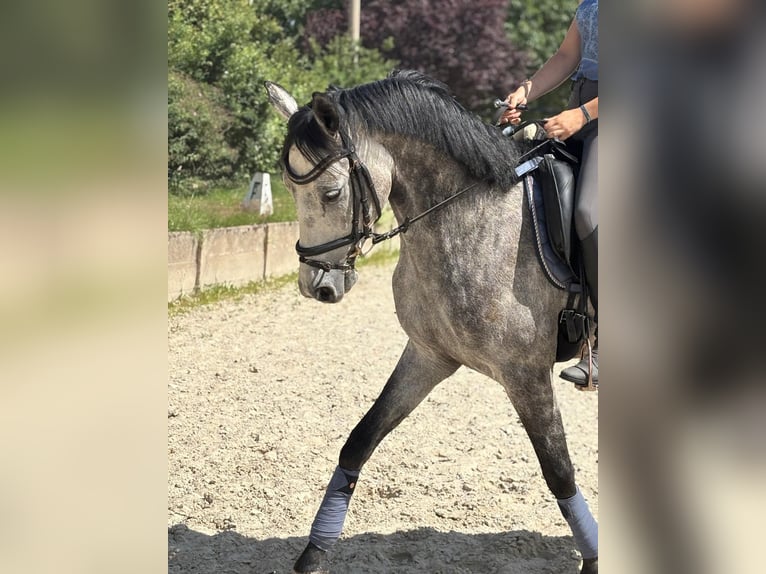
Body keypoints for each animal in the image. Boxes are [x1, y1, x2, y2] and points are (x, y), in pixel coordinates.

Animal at [265, 70, 597, 574]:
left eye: (332, 193)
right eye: (288, 188)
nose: (316, 284)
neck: (470, 221)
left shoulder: (526, 375)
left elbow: (559, 471)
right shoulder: (429, 355)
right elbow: (359, 440)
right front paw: (314, 553)